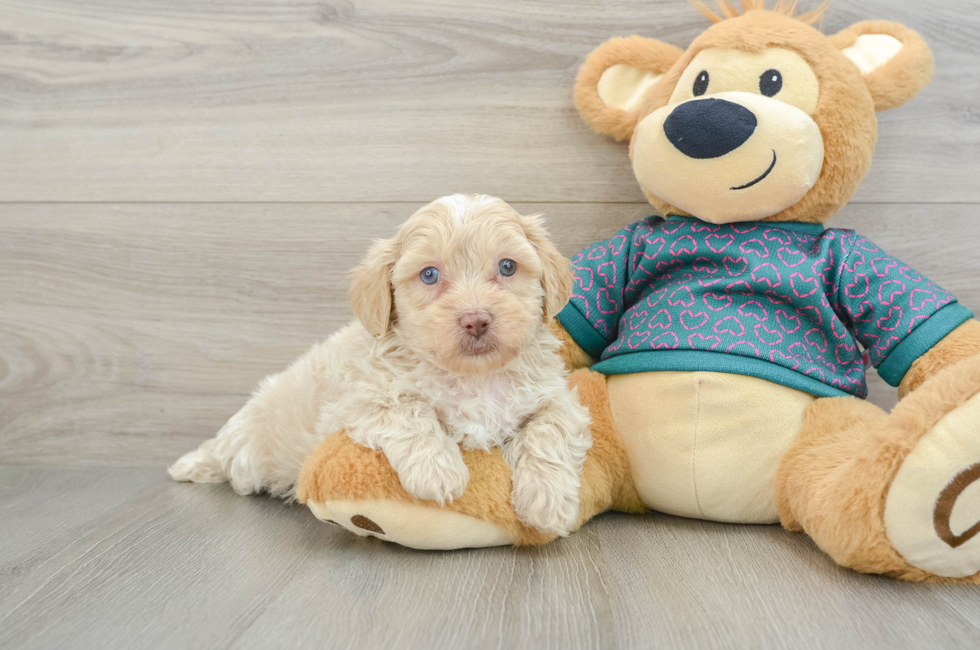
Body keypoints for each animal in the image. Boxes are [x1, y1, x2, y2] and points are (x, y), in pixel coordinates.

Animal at [170, 191, 588, 532]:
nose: (476, 319)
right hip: (250, 451)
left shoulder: (557, 398)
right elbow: (410, 412)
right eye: (429, 275)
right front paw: (439, 471)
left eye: (507, 267)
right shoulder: (361, 399)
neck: (474, 377)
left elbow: (549, 429)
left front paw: (548, 502)